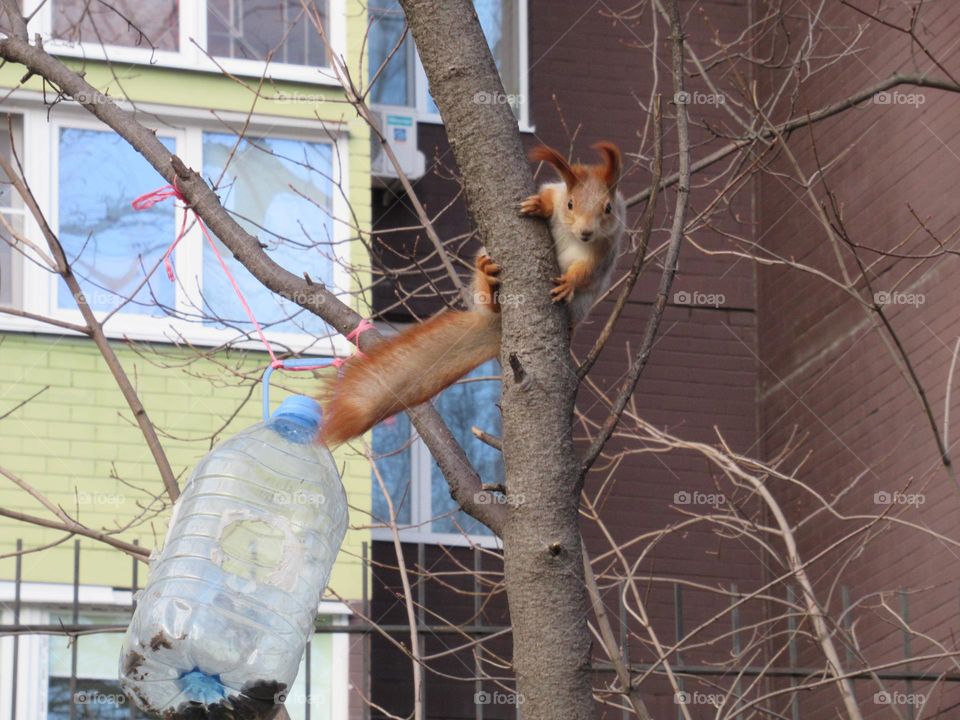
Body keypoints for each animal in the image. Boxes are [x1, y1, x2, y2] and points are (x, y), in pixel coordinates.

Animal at [319, 141, 626, 446]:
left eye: (608, 208)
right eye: (570, 203)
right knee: (489, 298)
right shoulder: (557, 190)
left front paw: (568, 283)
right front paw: (539, 204)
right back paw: (489, 281)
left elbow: (585, 272)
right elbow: (548, 195)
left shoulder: (603, 251)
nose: (586, 232)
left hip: (582, 304)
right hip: (484, 260)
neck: (575, 236)